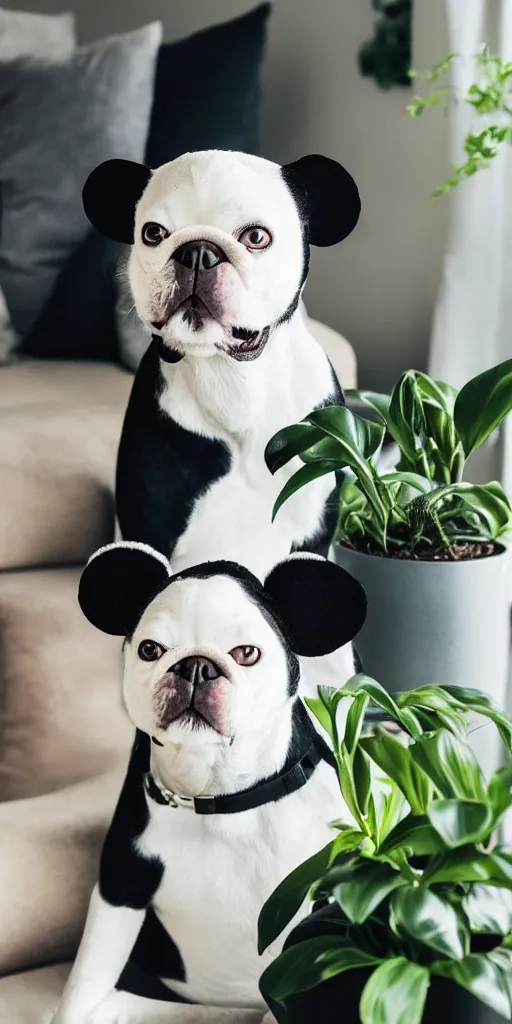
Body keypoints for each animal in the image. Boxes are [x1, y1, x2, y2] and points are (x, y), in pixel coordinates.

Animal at [50, 540, 364, 1019]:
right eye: (150, 650)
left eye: (247, 653)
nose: (195, 666)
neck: (221, 797)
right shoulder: (122, 882)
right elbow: (86, 981)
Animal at [80, 152, 360, 585]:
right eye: (153, 233)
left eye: (257, 237)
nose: (198, 252)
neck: (232, 377)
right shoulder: (147, 531)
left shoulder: (314, 533)